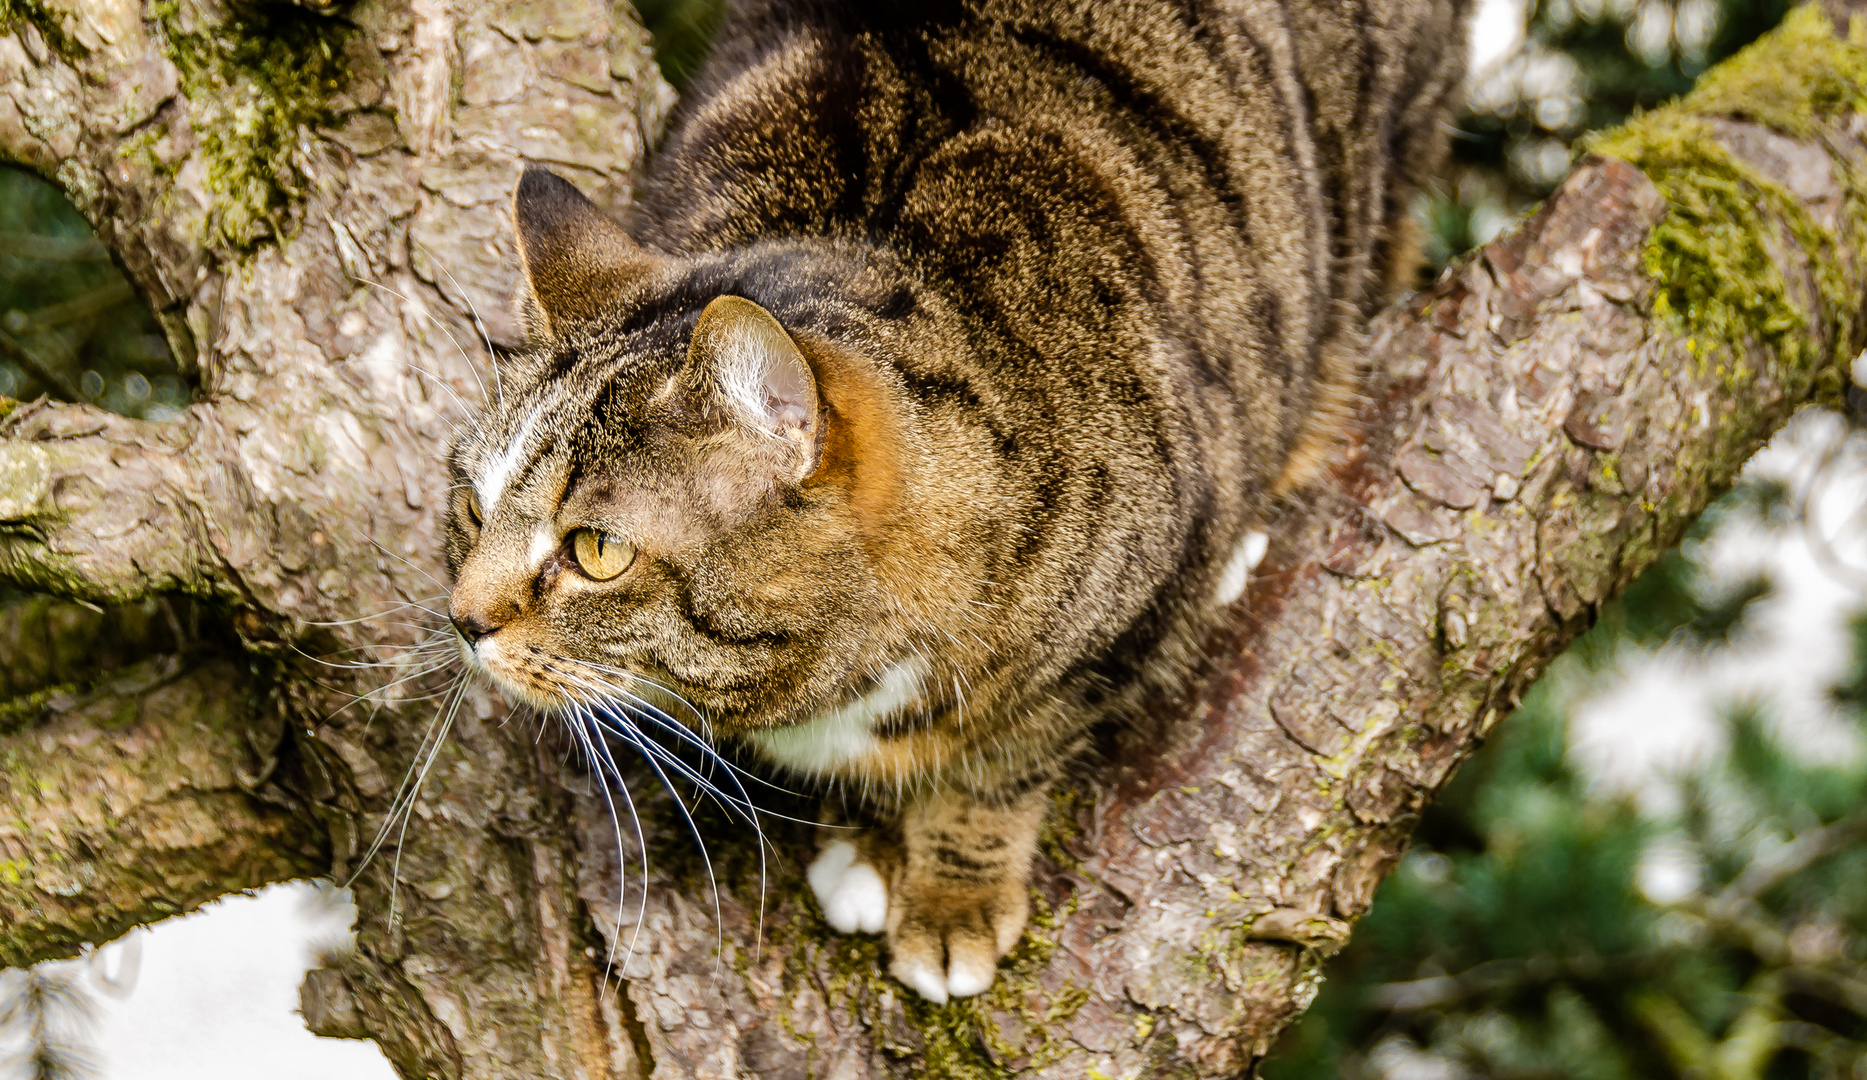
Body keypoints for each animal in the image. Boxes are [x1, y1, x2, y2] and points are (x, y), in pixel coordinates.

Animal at [444, 0, 1463, 1001]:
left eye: (596, 550)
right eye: (471, 504)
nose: (462, 620)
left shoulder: (1101, 645)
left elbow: (999, 769)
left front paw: (951, 898)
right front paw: (864, 840)